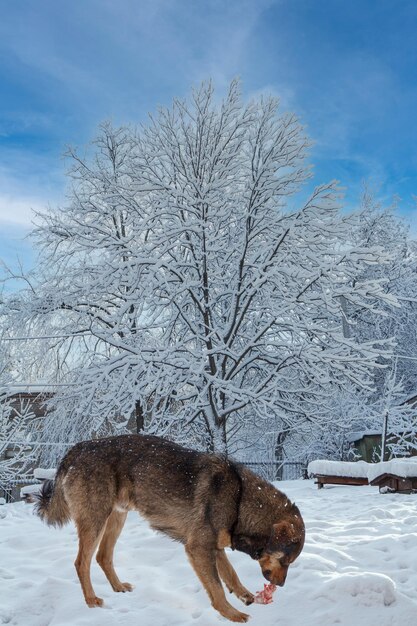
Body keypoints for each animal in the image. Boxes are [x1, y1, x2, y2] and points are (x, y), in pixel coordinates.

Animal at [34, 434, 304, 620]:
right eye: (285, 561)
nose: (281, 586)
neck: (239, 498)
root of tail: (76, 448)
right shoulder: (198, 549)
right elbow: (216, 588)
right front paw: (232, 614)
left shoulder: (213, 547)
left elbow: (230, 574)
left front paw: (243, 595)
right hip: (96, 521)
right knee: (82, 562)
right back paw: (91, 599)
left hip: (116, 518)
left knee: (103, 557)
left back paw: (118, 587)